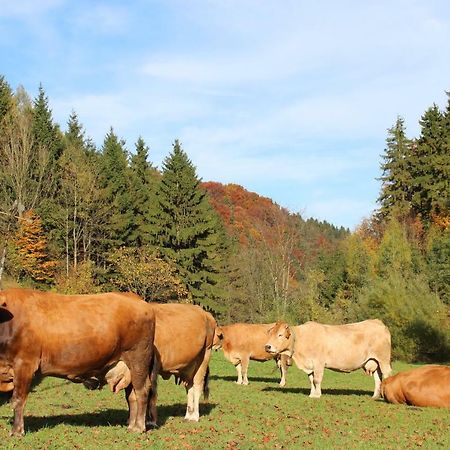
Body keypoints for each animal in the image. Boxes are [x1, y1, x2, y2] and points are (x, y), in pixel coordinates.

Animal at [0, 288, 156, 436]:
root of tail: (136, 298)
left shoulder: (24, 364)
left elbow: (18, 399)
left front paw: (17, 431)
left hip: (138, 360)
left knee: (142, 391)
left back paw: (139, 427)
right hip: (128, 367)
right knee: (132, 396)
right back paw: (131, 426)